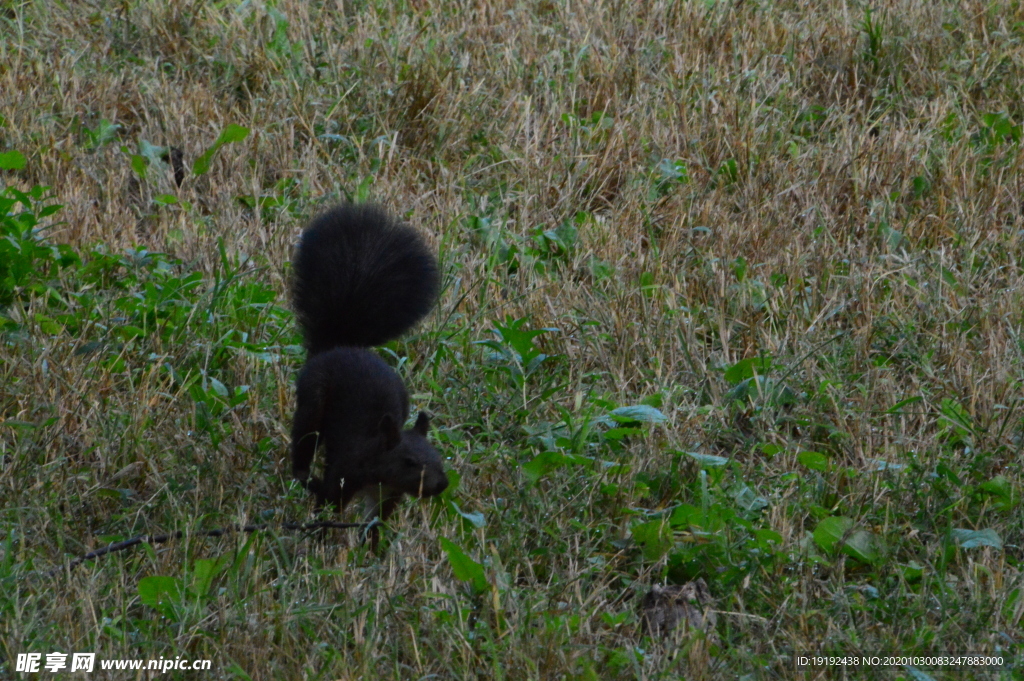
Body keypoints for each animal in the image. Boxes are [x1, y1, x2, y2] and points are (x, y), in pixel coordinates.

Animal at [290, 201, 446, 532]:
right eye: (409, 462)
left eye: (439, 458)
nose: (441, 485)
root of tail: (339, 347)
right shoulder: (343, 478)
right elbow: (327, 506)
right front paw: (321, 536)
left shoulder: (387, 497)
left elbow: (376, 526)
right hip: (313, 399)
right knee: (303, 442)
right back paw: (305, 477)